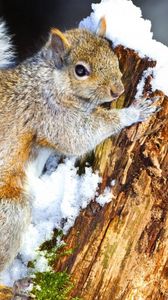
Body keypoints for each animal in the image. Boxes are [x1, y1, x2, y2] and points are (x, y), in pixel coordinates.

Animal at [0, 18, 159, 276]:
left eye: (112, 55)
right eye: (80, 70)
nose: (118, 90)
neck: (50, 79)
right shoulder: (50, 114)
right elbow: (79, 135)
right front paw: (132, 113)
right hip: (10, 210)